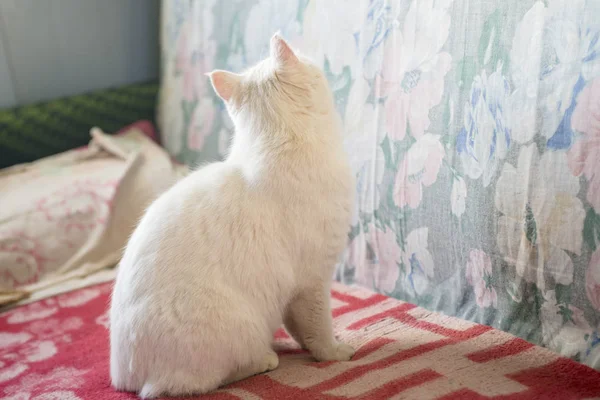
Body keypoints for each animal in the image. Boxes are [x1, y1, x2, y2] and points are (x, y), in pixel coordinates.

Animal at [109, 35, 354, 400]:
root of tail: (125, 380)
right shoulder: (312, 282)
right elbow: (320, 327)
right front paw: (335, 352)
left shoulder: (294, 294)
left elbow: (300, 329)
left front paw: (307, 347)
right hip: (236, 325)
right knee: (196, 382)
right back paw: (265, 359)